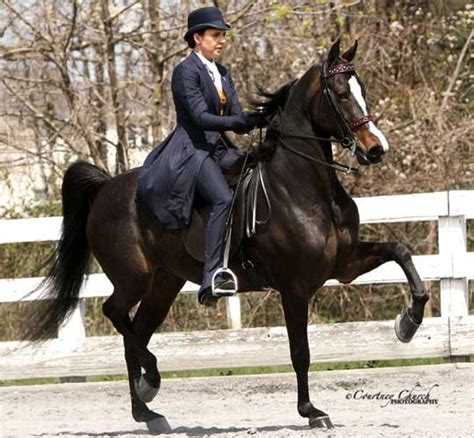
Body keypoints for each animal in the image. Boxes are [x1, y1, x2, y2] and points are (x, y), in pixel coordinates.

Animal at [29, 40, 430, 432]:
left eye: (363, 91)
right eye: (342, 93)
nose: (376, 149)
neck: (303, 188)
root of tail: (107, 186)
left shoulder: (343, 266)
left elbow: (400, 251)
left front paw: (407, 324)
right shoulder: (294, 286)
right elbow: (300, 351)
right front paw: (311, 411)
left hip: (163, 284)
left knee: (135, 335)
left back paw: (147, 410)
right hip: (133, 279)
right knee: (115, 315)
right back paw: (150, 383)